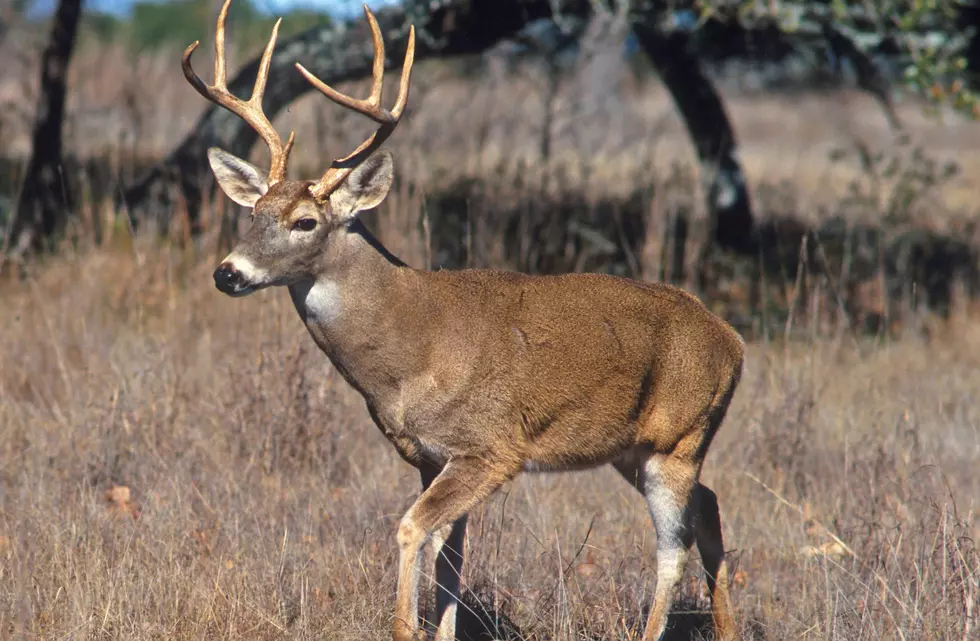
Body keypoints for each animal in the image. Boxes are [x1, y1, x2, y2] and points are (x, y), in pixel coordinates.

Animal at [183, 2, 745, 640]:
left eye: (305, 221)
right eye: (254, 212)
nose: (227, 272)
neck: (410, 350)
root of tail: (733, 341)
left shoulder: (490, 448)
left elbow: (412, 530)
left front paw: (406, 626)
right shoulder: (429, 456)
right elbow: (449, 554)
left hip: (679, 437)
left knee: (672, 546)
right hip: (635, 448)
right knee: (710, 506)